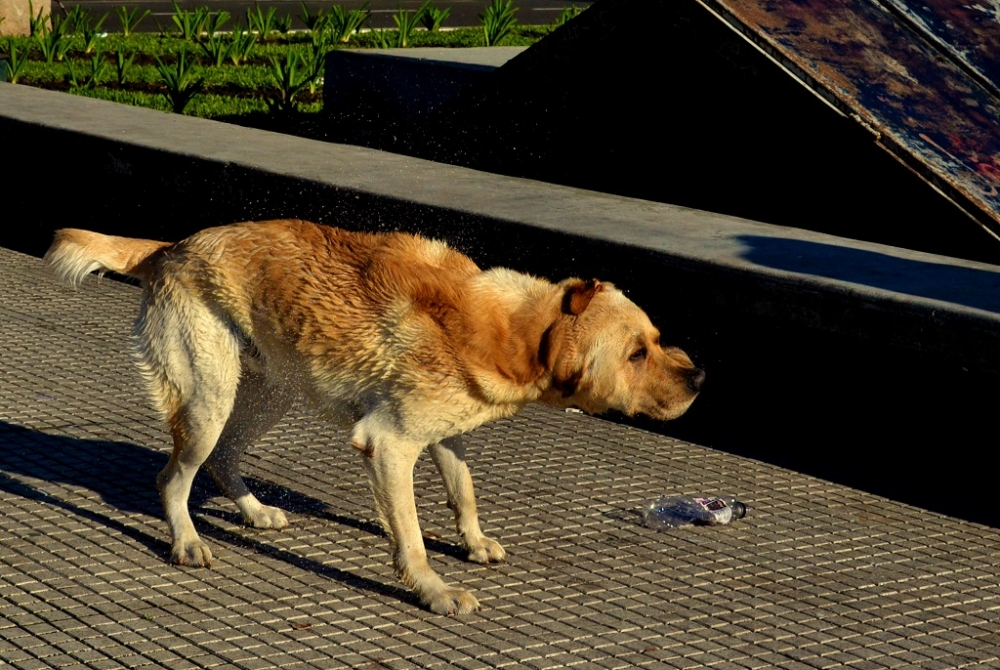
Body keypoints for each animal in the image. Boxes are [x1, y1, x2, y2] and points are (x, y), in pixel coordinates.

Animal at [45, 219, 704, 616]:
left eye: (657, 339)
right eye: (636, 353)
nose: (700, 378)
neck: (517, 331)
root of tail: (173, 245)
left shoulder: (443, 434)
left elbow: (463, 491)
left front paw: (473, 541)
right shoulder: (389, 444)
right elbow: (409, 537)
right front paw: (434, 591)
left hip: (267, 392)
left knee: (224, 460)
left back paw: (254, 512)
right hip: (209, 400)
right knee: (172, 477)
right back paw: (185, 540)